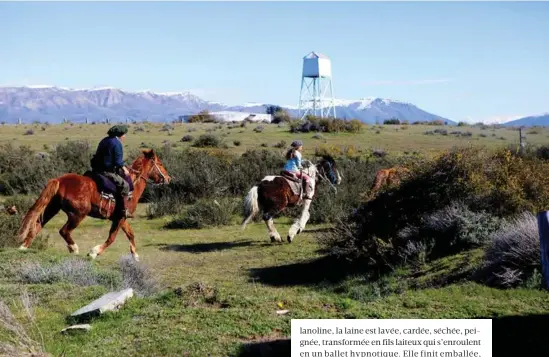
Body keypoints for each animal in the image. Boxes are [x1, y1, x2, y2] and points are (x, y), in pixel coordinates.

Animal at [16, 149, 169, 260]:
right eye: (160, 164)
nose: (168, 178)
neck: (133, 185)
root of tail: (60, 180)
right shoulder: (120, 218)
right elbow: (112, 238)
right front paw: (94, 252)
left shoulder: (120, 217)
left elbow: (130, 234)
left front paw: (135, 255)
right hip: (78, 214)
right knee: (64, 231)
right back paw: (74, 248)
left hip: (52, 208)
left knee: (37, 225)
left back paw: (24, 246)